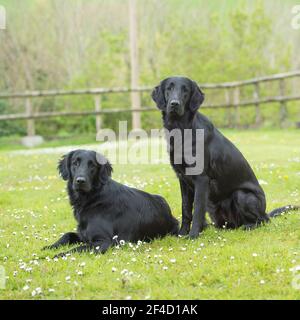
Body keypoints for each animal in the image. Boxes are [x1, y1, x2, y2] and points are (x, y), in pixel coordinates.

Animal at [42, 150, 178, 258]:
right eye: (75, 163)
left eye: (93, 165)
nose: (80, 181)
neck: (93, 198)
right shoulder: (83, 234)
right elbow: (67, 235)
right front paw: (49, 247)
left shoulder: (104, 241)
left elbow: (78, 248)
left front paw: (58, 255)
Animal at [152, 76, 300, 239]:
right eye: (169, 88)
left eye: (186, 90)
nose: (174, 103)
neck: (181, 129)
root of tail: (265, 212)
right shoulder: (183, 179)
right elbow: (186, 209)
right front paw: (182, 234)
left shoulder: (201, 179)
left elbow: (197, 210)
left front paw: (193, 235)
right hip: (214, 207)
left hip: (242, 195)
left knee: (261, 220)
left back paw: (248, 226)